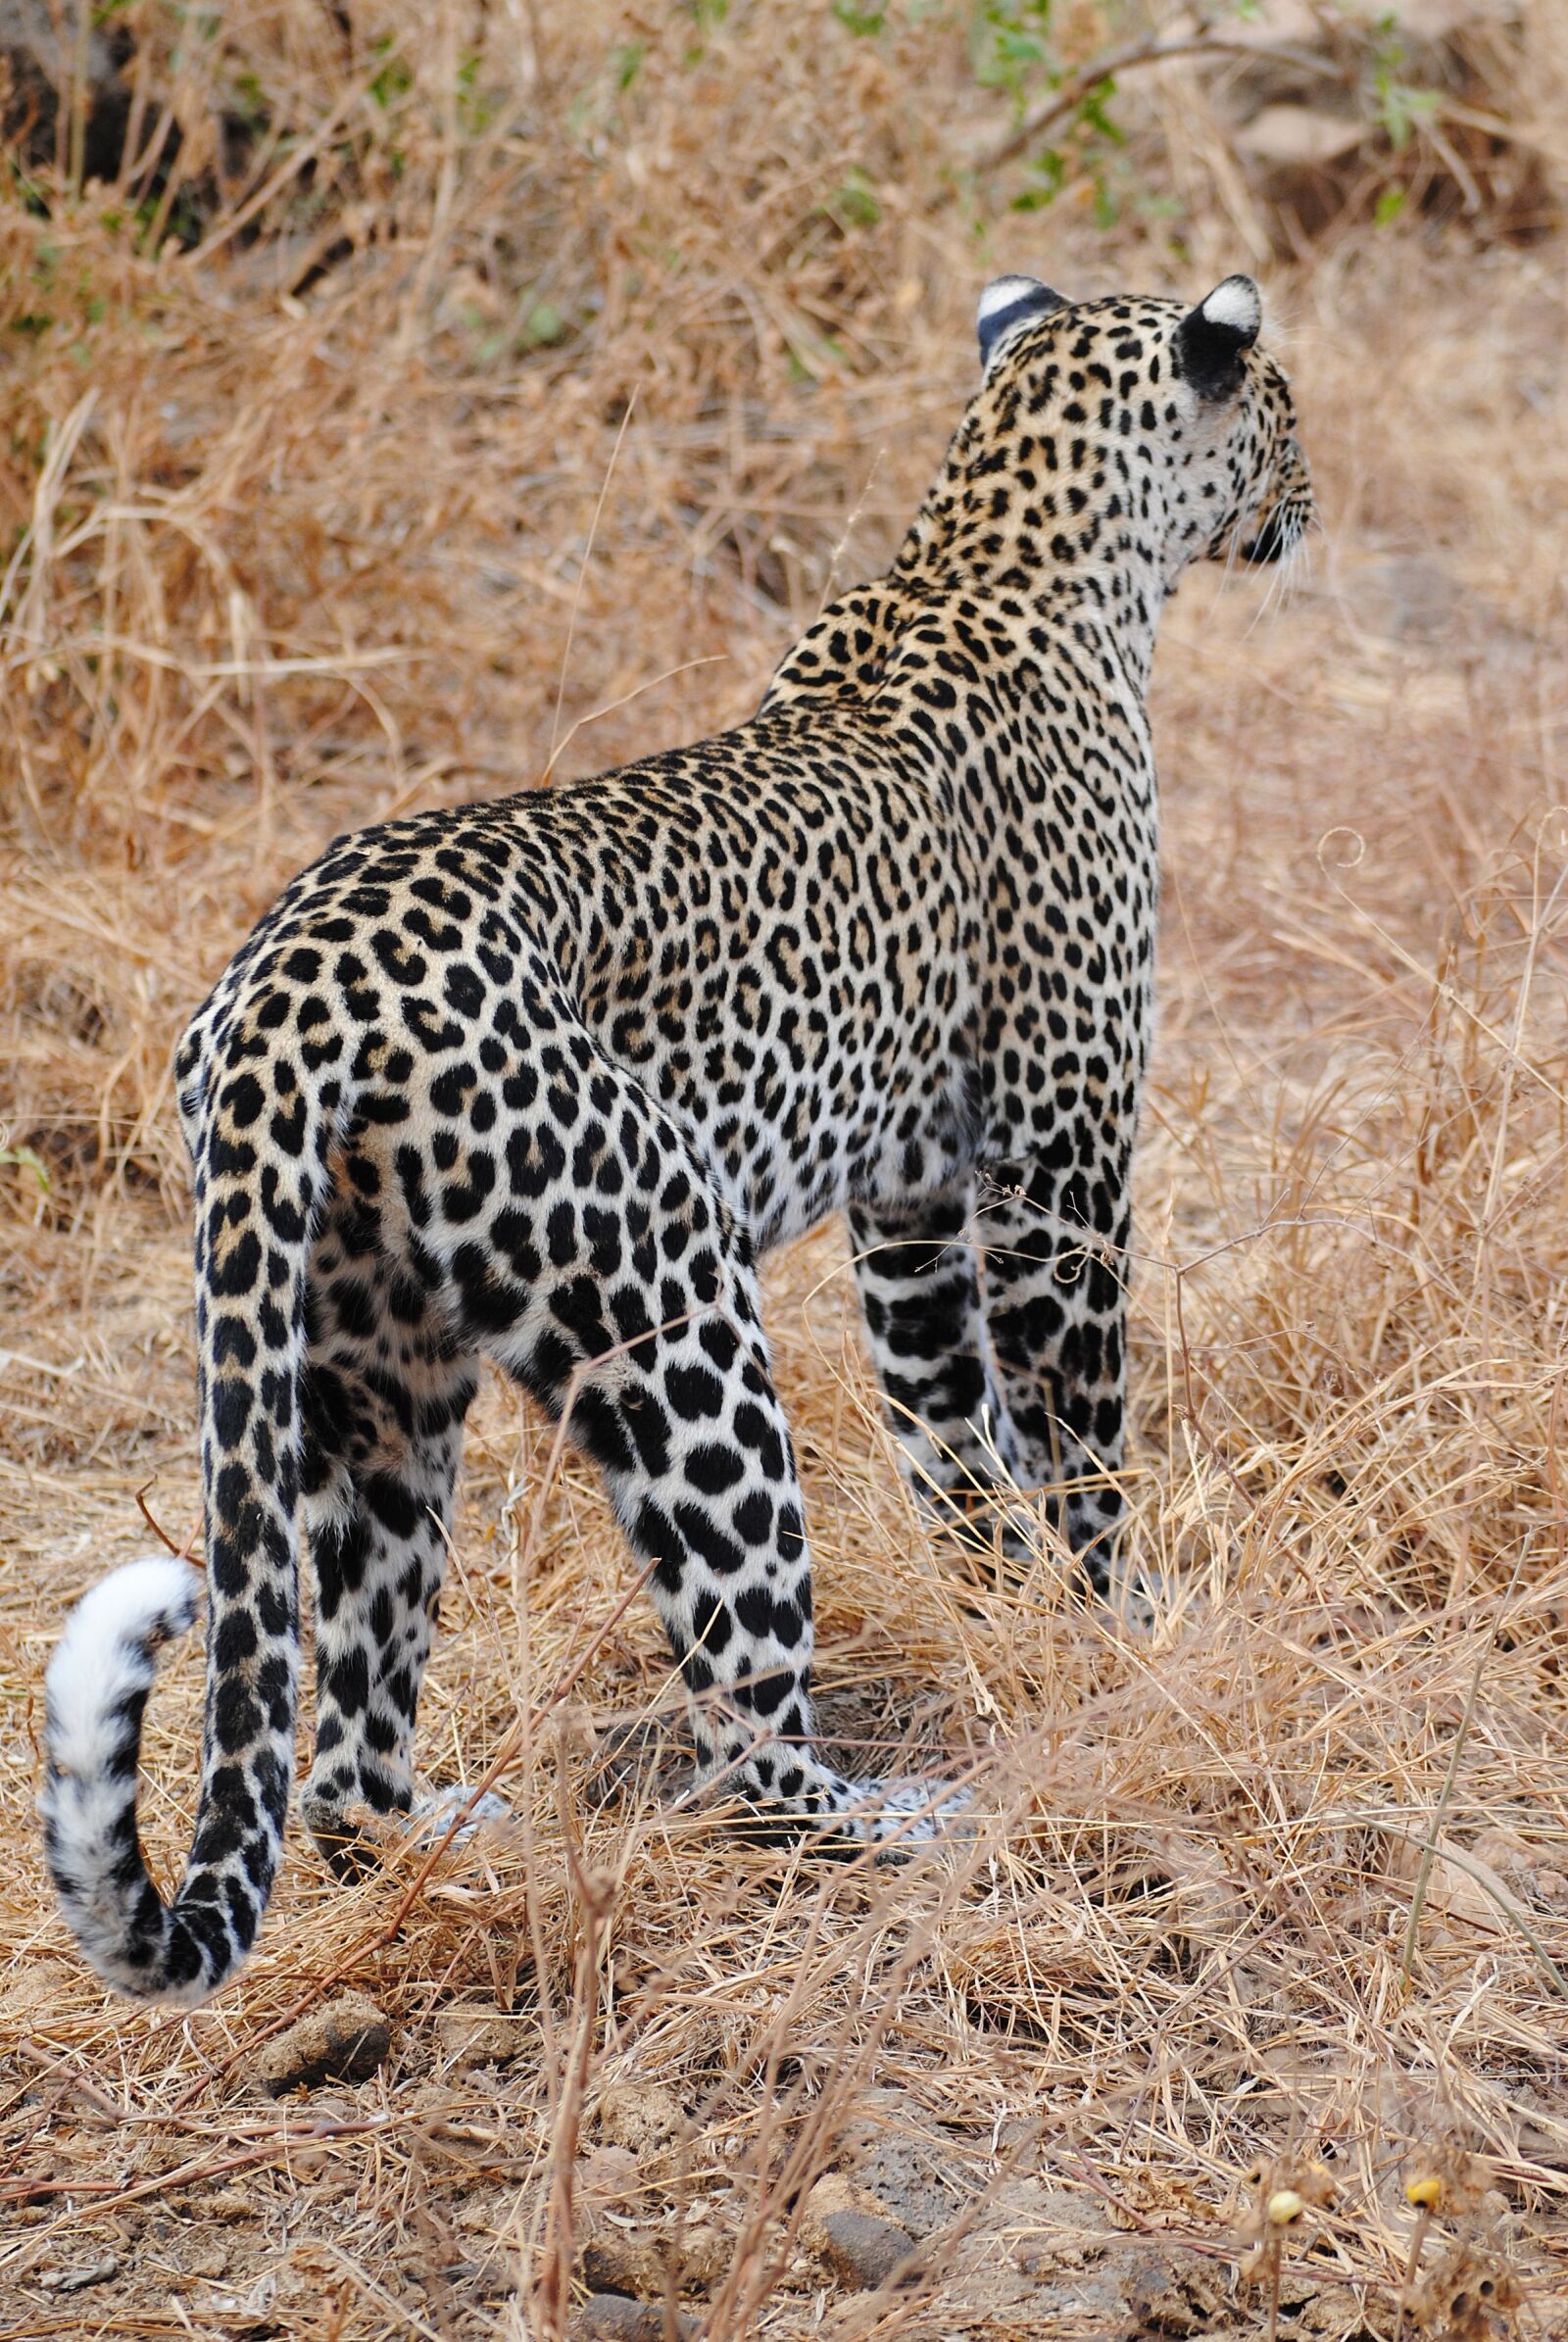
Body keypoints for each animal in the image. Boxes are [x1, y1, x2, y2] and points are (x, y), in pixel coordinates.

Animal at [40, 272, 1313, 2003]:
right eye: (1289, 413)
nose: (1309, 506)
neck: (998, 540)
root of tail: (290, 986)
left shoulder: (912, 1203)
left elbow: (951, 1438)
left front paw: (1014, 1613)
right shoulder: (1058, 1155)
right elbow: (1080, 1432)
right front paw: (1123, 1627)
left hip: (369, 1368)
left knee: (346, 1750)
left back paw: (453, 1842)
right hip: (675, 1298)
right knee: (742, 1738)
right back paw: (891, 1819)